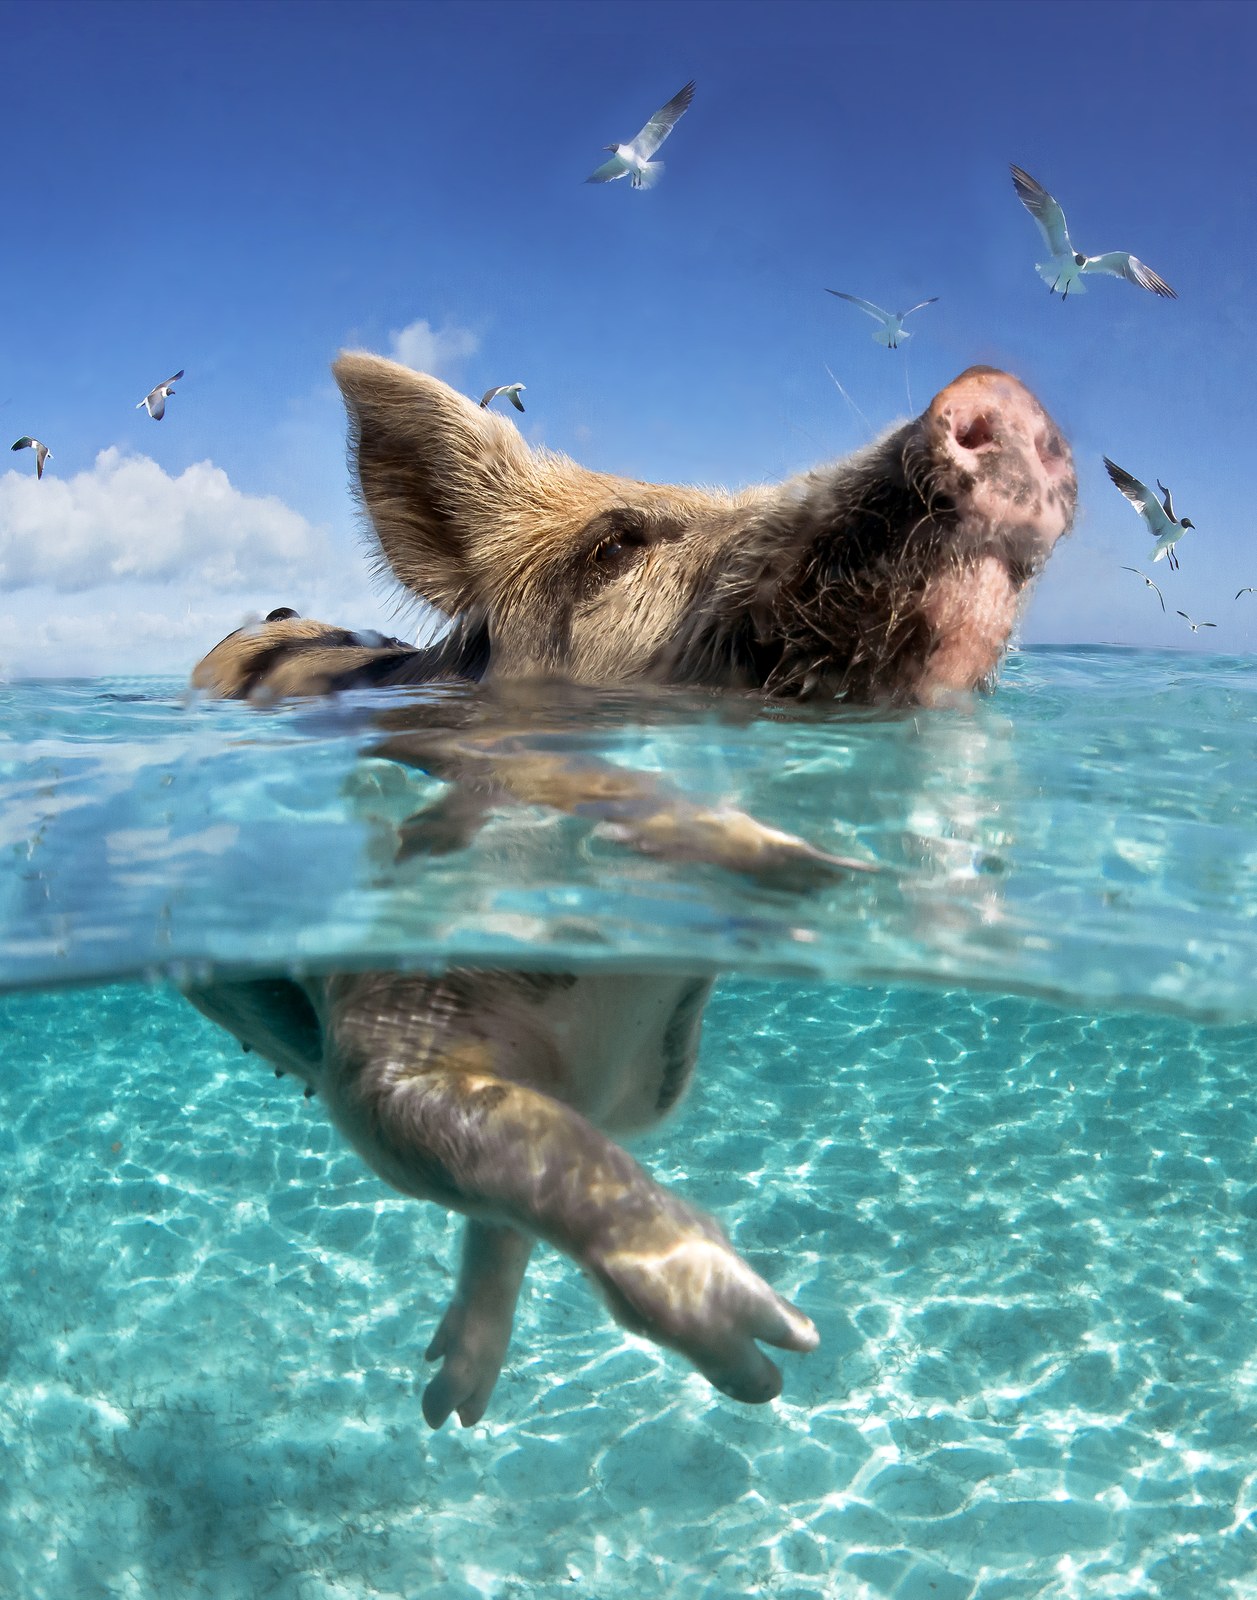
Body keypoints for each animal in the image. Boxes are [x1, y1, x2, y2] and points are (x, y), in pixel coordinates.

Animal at [185, 354, 1075, 1429]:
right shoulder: (383, 1011)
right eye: (614, 545)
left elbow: (514, 1200)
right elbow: (515, 1138)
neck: (618, 992)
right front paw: (767, 1348)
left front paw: (457, 1408)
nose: (994, 388)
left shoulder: (643, 1082)